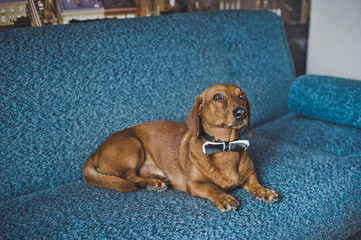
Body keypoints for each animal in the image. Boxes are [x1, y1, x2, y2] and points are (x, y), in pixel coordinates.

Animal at [83, 83, 280, 211]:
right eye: (217, 97)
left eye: (242, 95)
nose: (242, 112)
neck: (224, 147)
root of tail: (94, 152)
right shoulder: (194, 185)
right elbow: (211, 188)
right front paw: (224, 197)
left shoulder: (249, 175)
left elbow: (255, 183)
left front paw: (264, 191)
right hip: (133, 145)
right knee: (130, 176)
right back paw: (153, 183)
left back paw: (156, 177)